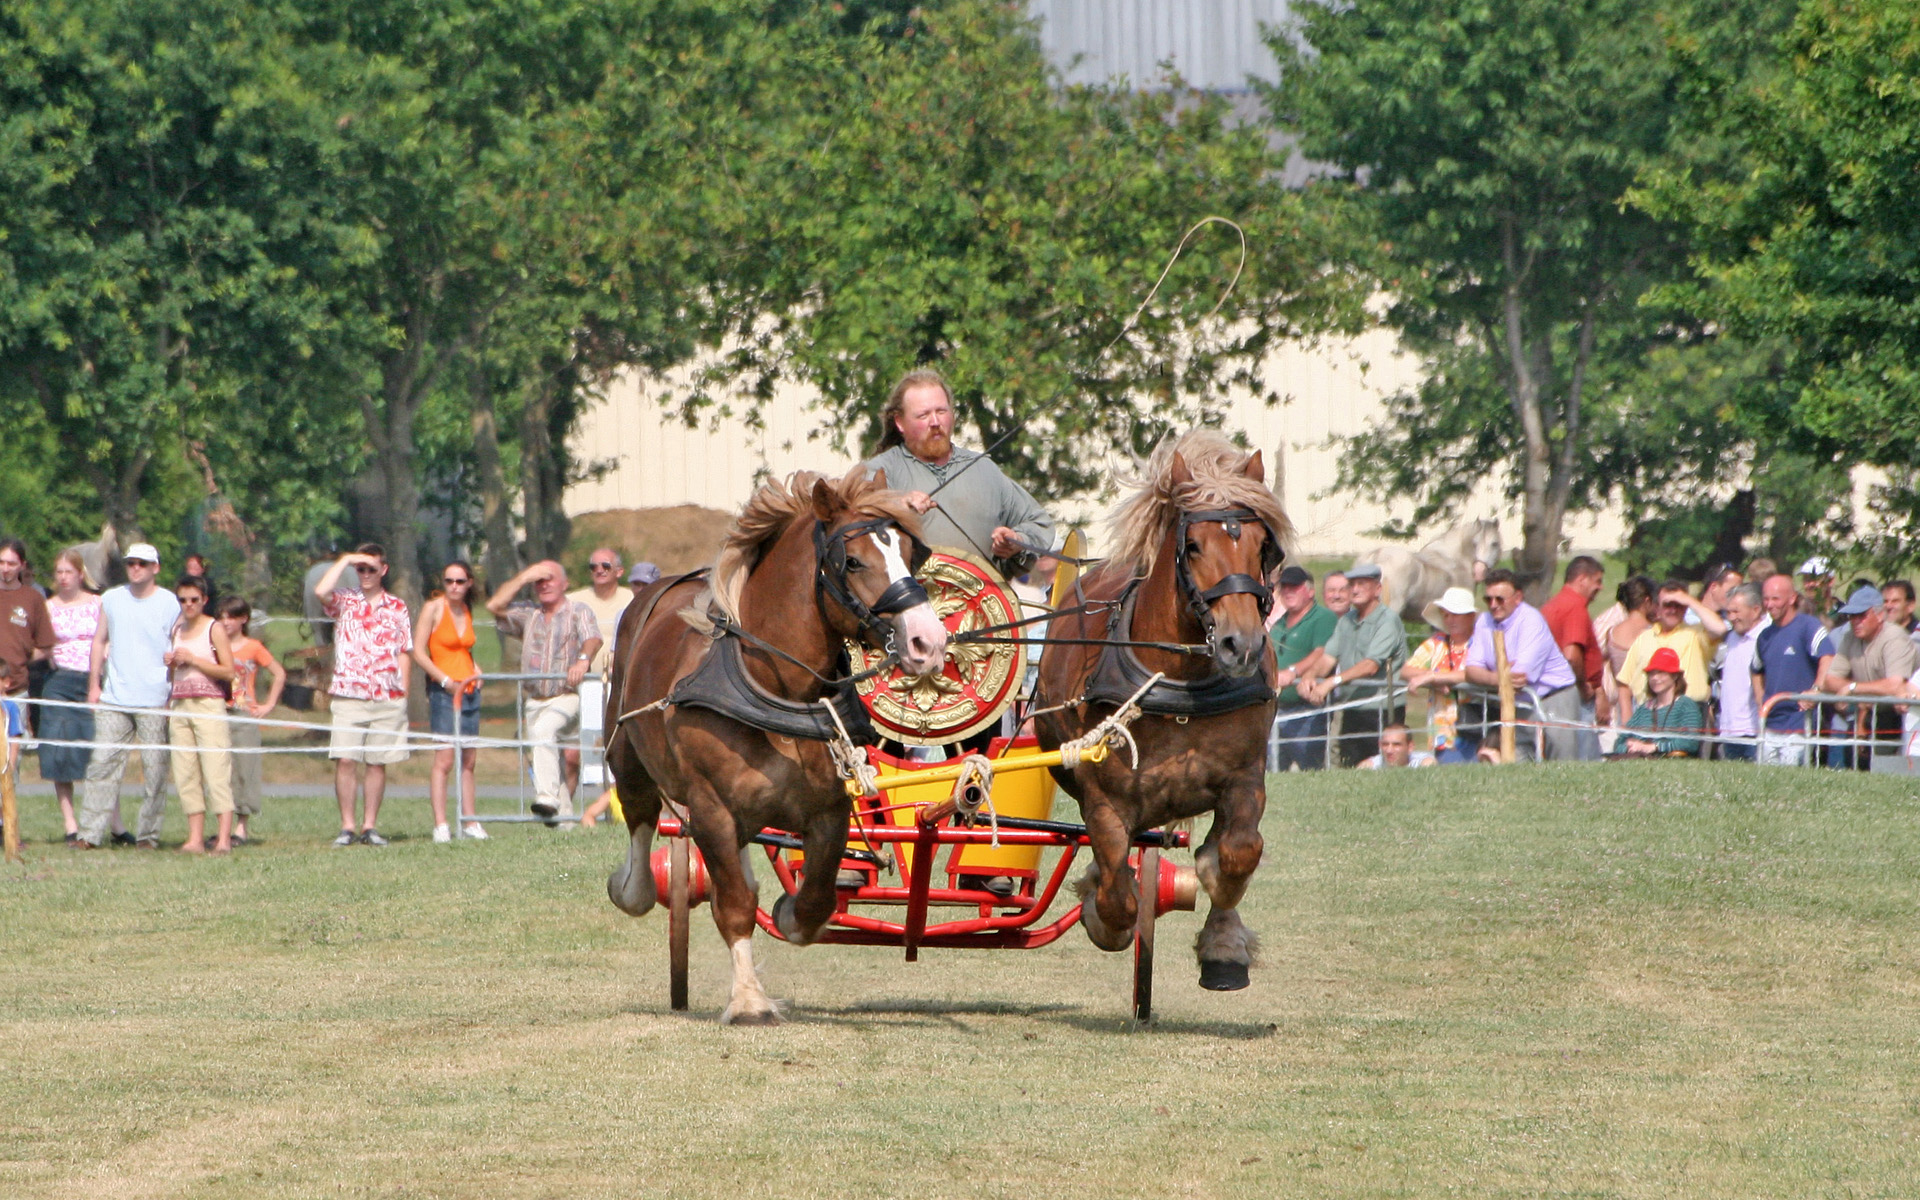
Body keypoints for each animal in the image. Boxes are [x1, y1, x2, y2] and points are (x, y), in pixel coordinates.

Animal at [601, 466, 948, 1025]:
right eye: (853, 561)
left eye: (912, 555)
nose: (928, 642)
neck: (776, 690)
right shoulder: (711, 807)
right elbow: (734, 904)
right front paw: (748, 1000)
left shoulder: (829, 809)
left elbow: (815, 900)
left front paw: (788, 914)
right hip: (628, 756)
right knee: (640, 815)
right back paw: (631, 887)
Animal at [1035, 431, 1287, 993]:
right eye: (1192, 546)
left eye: (1263, 545)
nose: (1242, 645)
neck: (1180, 685)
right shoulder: (1104, 801)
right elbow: (1118, 894)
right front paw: (1100, 915)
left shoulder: (1245, 777)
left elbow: (1236, 854)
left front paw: (1224, 945)